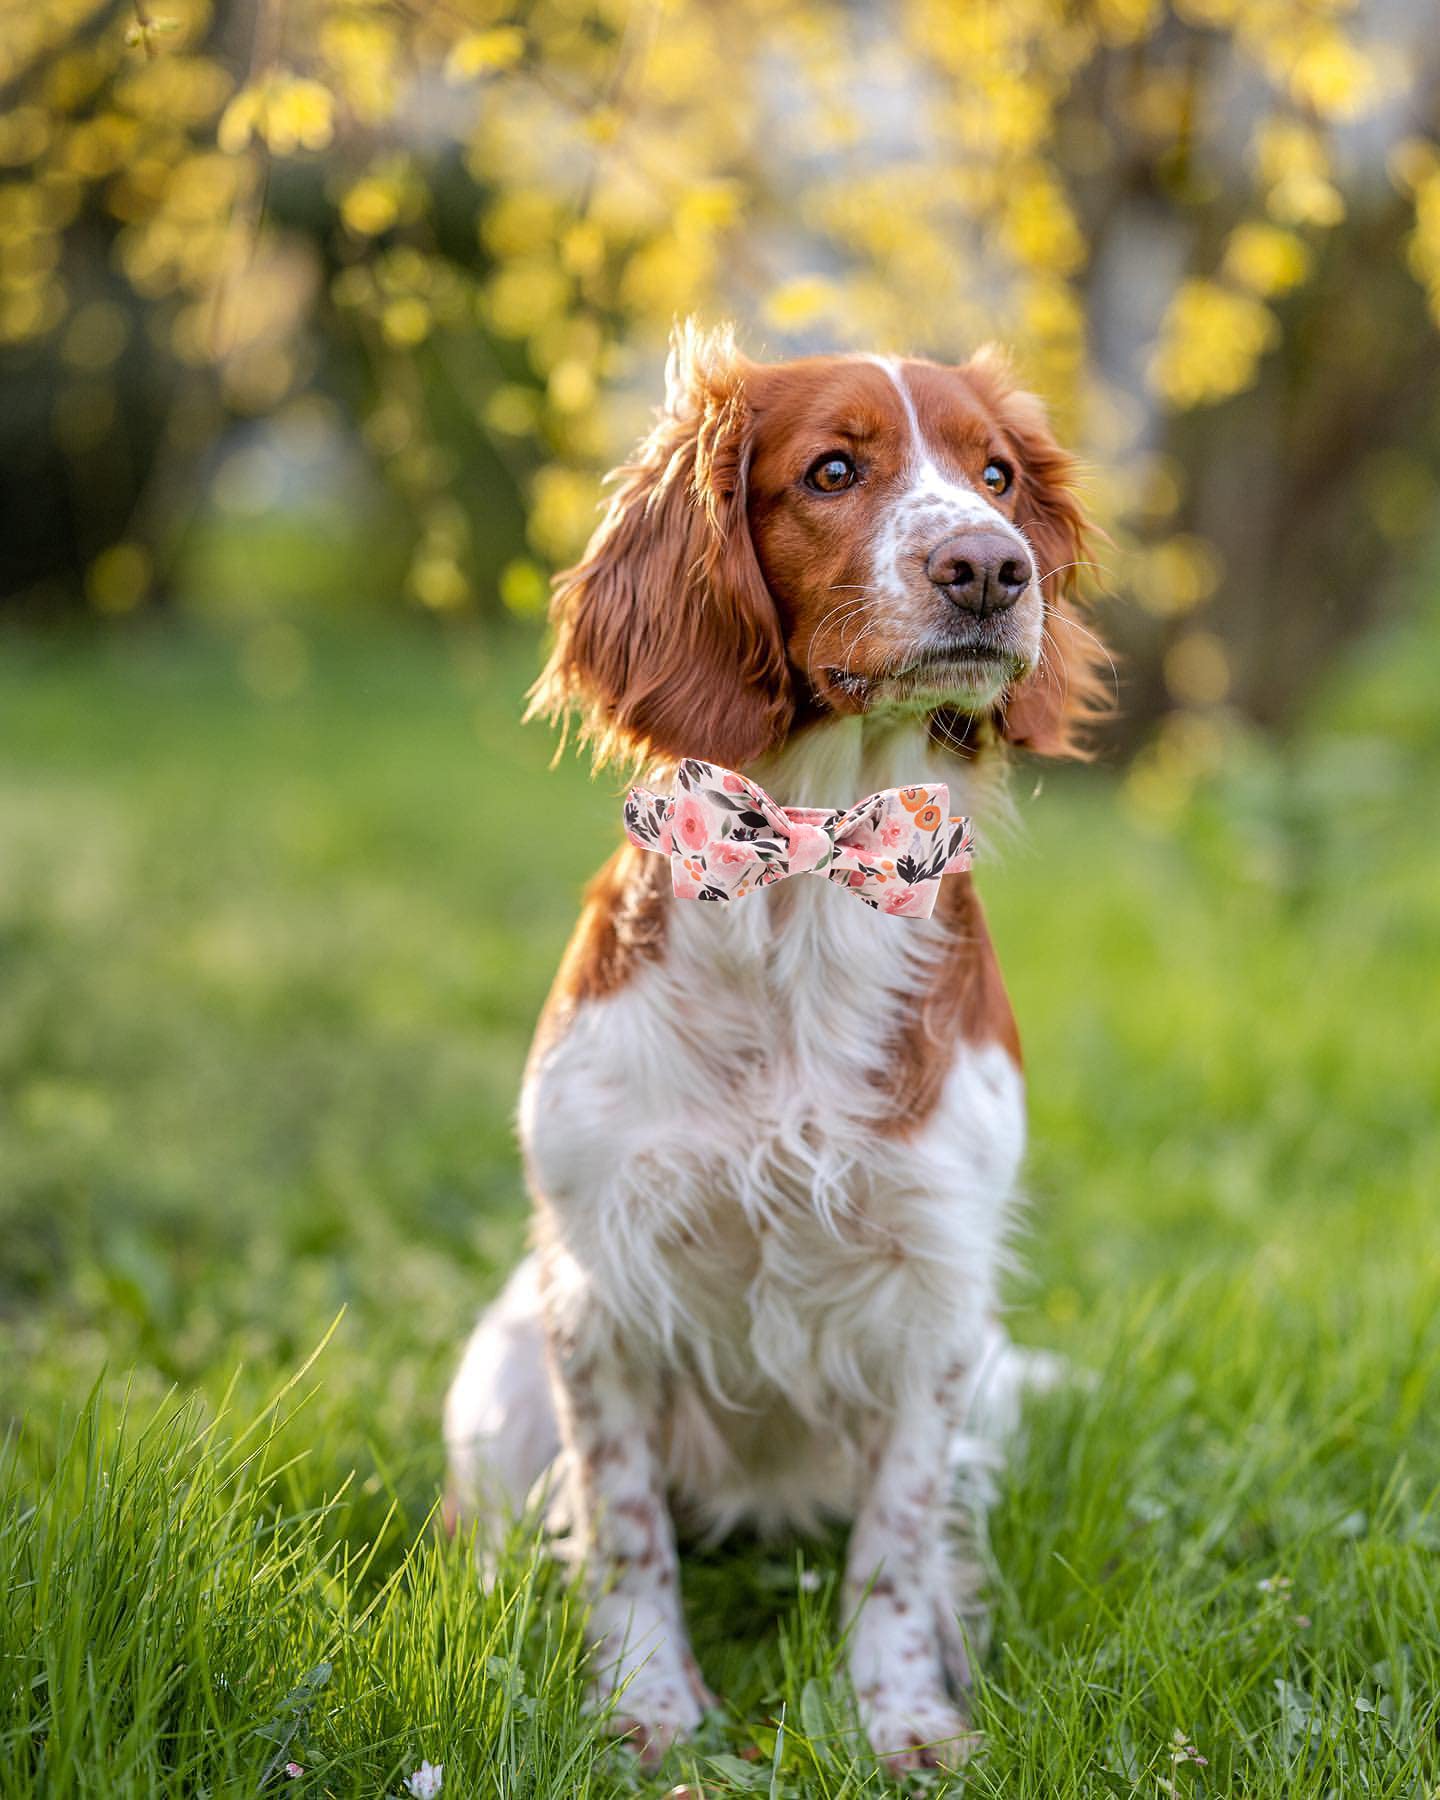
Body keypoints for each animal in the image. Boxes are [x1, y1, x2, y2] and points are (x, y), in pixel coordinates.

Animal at [444, 324, 1108, 1771]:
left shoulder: (937, 1301)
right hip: (501, 1363)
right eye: (832, 471)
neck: (807, 875)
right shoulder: (600, 1290)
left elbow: (898, 1544)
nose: (992, 566)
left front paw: (902, 1717)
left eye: (996, 473)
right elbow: (626, 1531)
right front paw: (647, 1710)